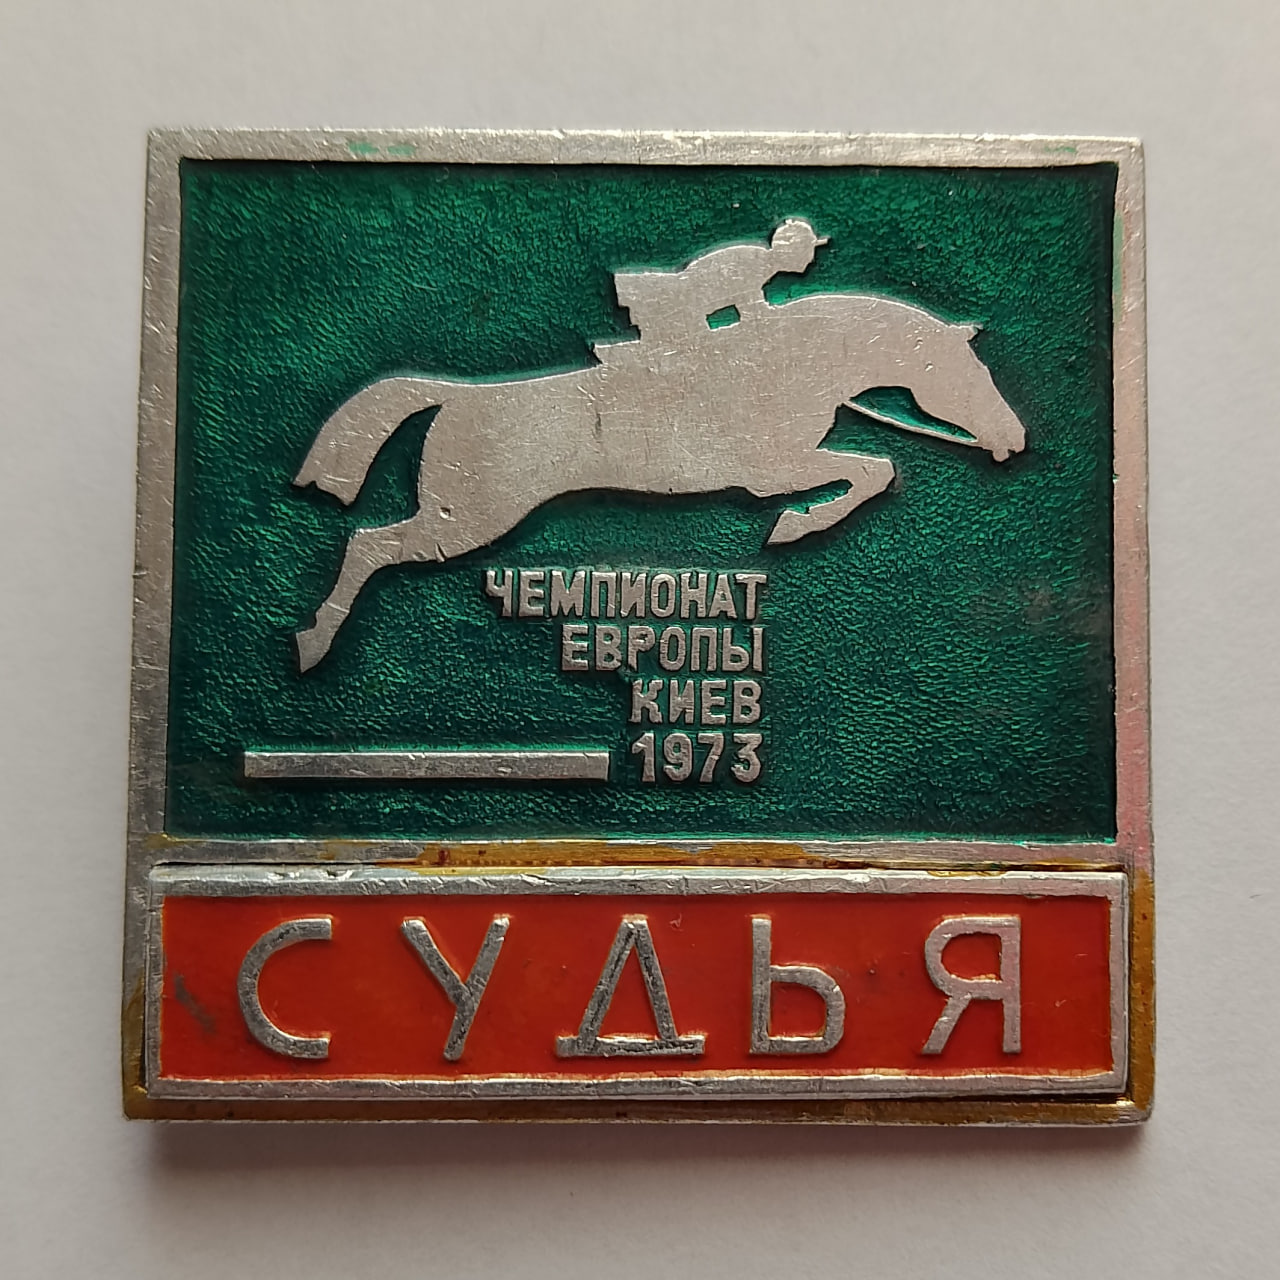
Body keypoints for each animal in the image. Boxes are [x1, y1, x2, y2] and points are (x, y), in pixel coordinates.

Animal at [293, 292, 1027, 670]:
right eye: (966, 373)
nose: (1014, 440)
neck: (786, 365)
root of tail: (453, 396)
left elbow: (873, 470)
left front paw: (801, 523)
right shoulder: (771, 471)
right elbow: (873, 470)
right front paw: (796, 527)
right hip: (467, 521)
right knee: (368, 544)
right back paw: (313, 643)